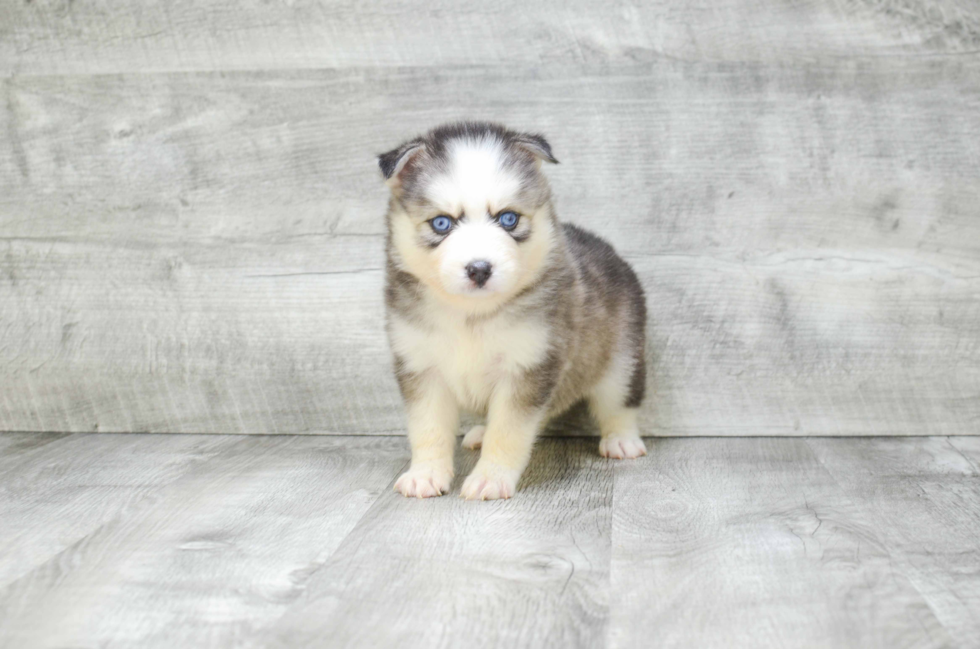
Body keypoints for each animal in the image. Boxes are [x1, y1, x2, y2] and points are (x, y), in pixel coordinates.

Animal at [378, 123, 648, 502]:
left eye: (508, 219)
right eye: (442, 223)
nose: (479, 268)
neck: (471, 316)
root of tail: (606, 247)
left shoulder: (528, 367)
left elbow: (508, 431)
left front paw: (490, 478)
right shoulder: (421, 367)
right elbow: (427, 428)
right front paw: (425, 474)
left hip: (622, 361)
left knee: (619, 403)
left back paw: (622, 440)